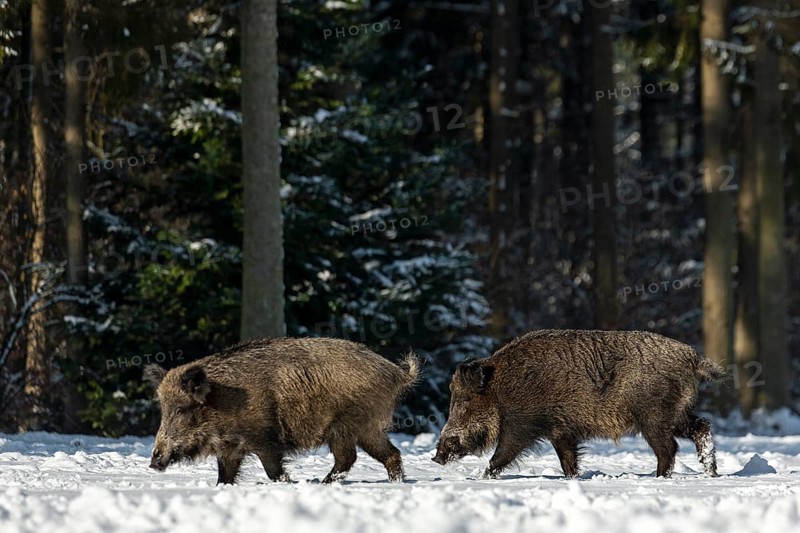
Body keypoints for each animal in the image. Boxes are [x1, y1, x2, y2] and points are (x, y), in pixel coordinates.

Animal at [144, 337, 419, 484]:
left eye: (181, 409)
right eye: (163, 409)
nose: (154, 461)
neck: (222, 400)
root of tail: (397, 373)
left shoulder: (265, 439)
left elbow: (273, 470)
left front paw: (288, 483)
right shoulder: (230, 447)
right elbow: (225, 475)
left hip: (347, 427)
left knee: (348, 457)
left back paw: (323, 484)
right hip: (368, 429)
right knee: (390, 454)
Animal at [433, 329, 725, 479]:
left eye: (464, 401)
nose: (436, 456)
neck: (500, 390)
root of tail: (693, 358)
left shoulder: (522, 424)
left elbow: (503, 453)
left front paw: (482, 477)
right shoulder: (560, 430)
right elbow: (568, 459)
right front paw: (572, 479)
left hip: (654, 417)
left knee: (669, 447)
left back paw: (660, 477)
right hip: (676, 414)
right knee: (702, 427)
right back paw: (710, 473)